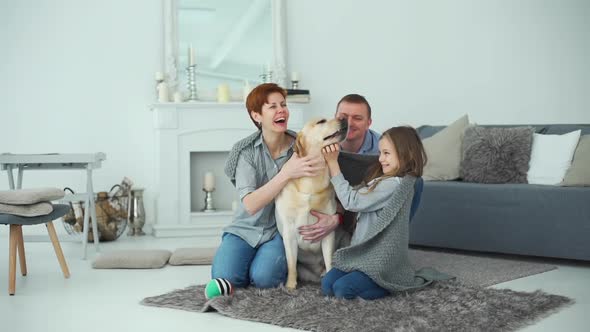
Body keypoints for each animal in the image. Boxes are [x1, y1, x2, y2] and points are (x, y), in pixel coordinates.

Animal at [276, 118, 350, 290]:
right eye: (321, 121)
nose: (344, 118)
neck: (312, 181)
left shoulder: (327, 231)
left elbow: (329, 261)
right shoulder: (289, 232)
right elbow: (291, 264)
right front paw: (290, 286)